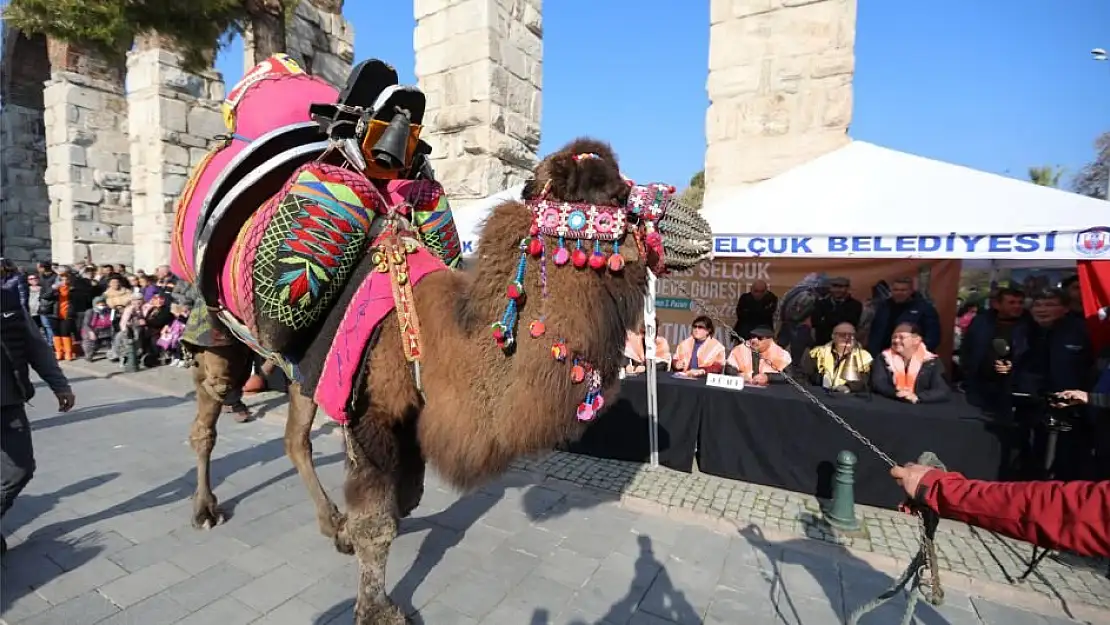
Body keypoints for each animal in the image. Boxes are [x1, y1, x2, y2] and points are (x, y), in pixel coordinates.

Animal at [168, 54, 710, 625]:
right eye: (616, 194)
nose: (699, 229)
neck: (439, 338)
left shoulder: (389, 405)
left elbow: (405, 498)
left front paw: (356, 538)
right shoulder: (372, 410)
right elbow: (379, 519)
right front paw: (376, 609)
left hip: (306, 369)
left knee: (296, 438)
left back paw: (330, 525)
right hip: (216, 329)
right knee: (209, 412)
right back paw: (206, 509)